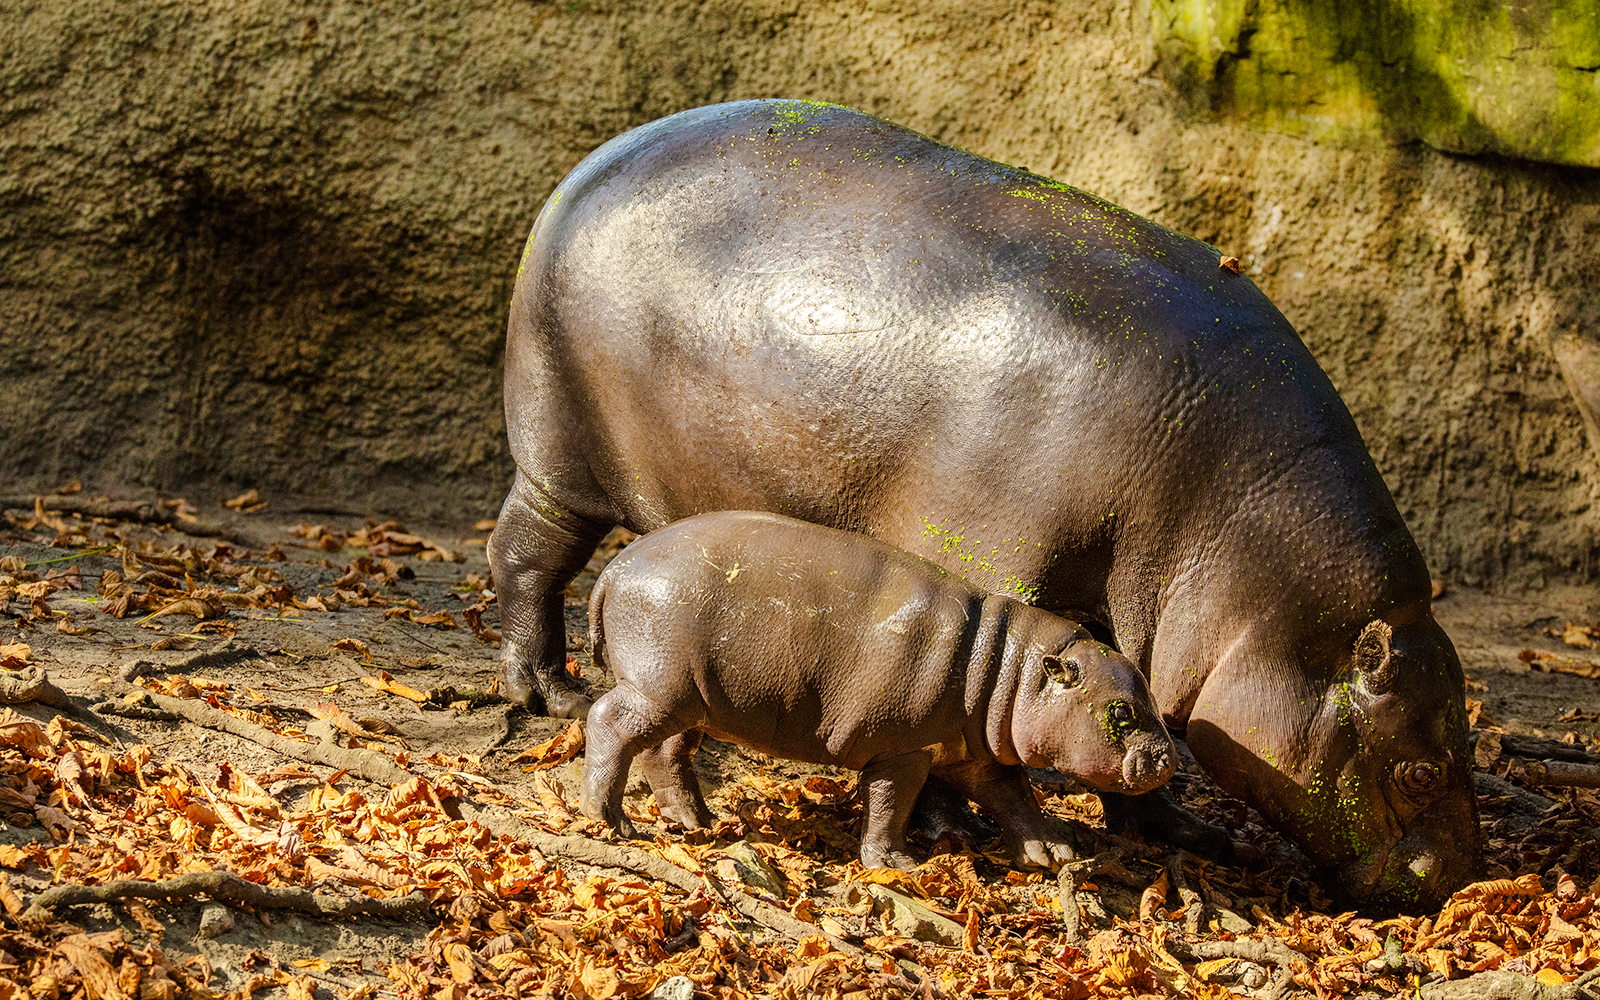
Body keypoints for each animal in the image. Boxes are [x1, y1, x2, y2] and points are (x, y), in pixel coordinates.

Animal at [578, 510, 1176, 870]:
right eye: (1120, 713)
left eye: (1148, 697)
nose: (1167, 759)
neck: (1014, 668)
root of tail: (614, 566)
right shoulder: (903, 746)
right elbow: (892, 802)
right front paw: (897, 865)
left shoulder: (976, 754)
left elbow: (1015, 798)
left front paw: (1053, 853)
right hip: (660, 688)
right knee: (609, 722)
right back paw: (612, 821)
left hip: (695, 699)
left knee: (665, 752)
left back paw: (699, 821)